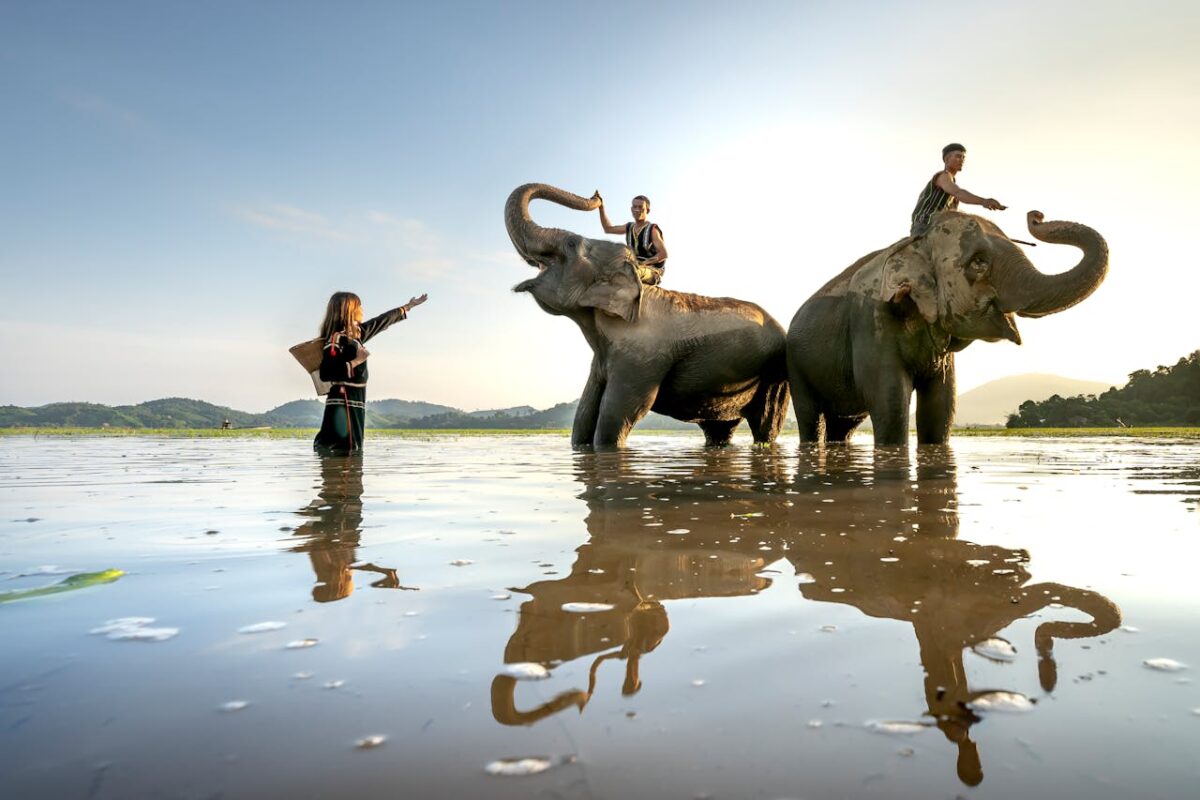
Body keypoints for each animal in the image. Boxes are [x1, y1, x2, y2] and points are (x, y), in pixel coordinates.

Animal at [506, 183, 790, 448]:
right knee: (719, 428)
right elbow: (584, 415)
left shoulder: (641, 357)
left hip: (774, 375)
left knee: (766, 424)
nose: (596, 196)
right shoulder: (603, 358)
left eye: (571, 243)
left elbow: (620, 414)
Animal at [786, 209, 1109, 445]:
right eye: (978, 262)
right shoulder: (871, 319)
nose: (1036, 216)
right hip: (796, 368)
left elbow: (942, 402)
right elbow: (890, 397)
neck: (916, 245)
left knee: (844, 424)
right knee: (811, 416)